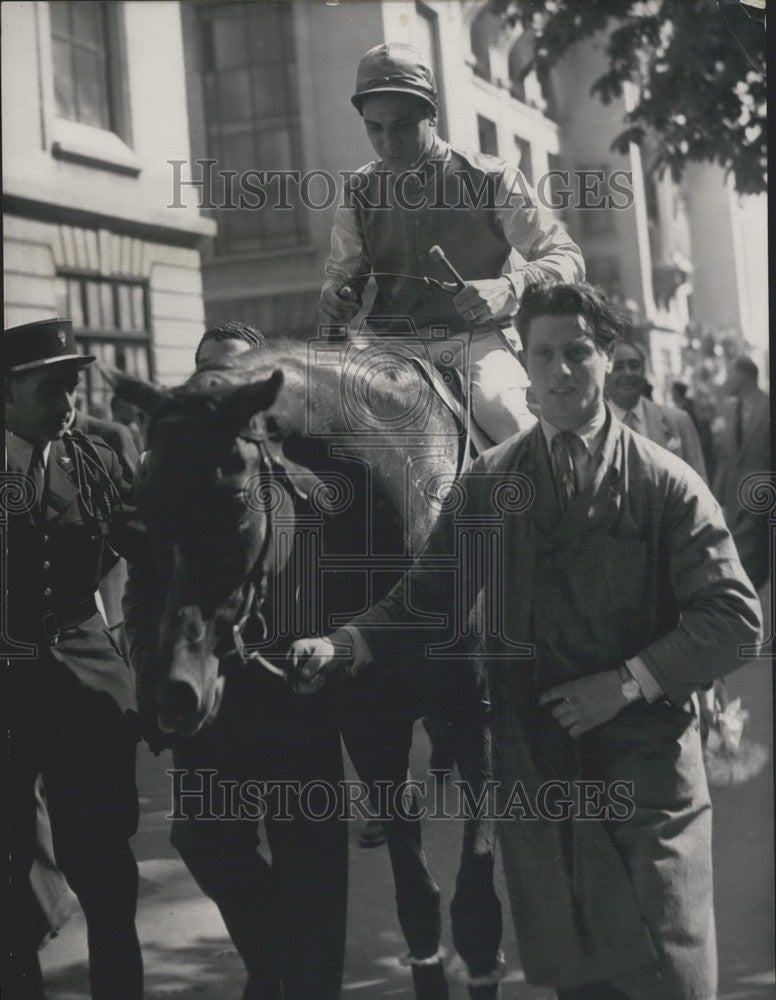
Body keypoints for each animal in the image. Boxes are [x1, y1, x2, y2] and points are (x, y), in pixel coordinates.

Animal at [118, 338, 500, 1000]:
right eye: (144, 506)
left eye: (236, 503)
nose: (173, 690)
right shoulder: (372, 728)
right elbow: (416, 898)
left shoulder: (470, 713)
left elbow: (474, 900)